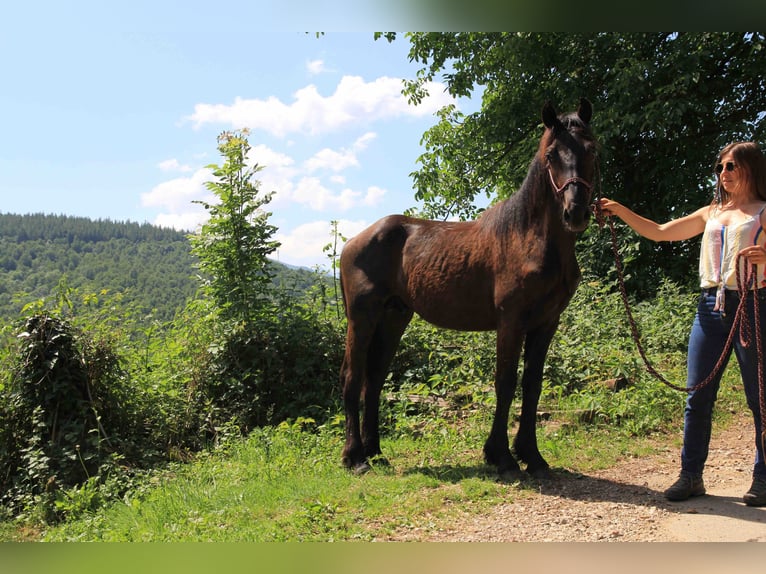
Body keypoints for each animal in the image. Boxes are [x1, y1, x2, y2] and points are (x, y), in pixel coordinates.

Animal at [338, 98, 597, 478]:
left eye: (591, 149)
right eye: (551, 155)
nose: (574, 212)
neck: (529, 237)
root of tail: (353, 242)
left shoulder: (546, 323)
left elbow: (532, 385)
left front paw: (532, 456)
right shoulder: (511, 321)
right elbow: (505, 382)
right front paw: (501, 456)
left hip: (394, 317)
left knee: (374, 379)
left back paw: (375, 453)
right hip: (362, 318)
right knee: (353, 376)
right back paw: (355, 457)